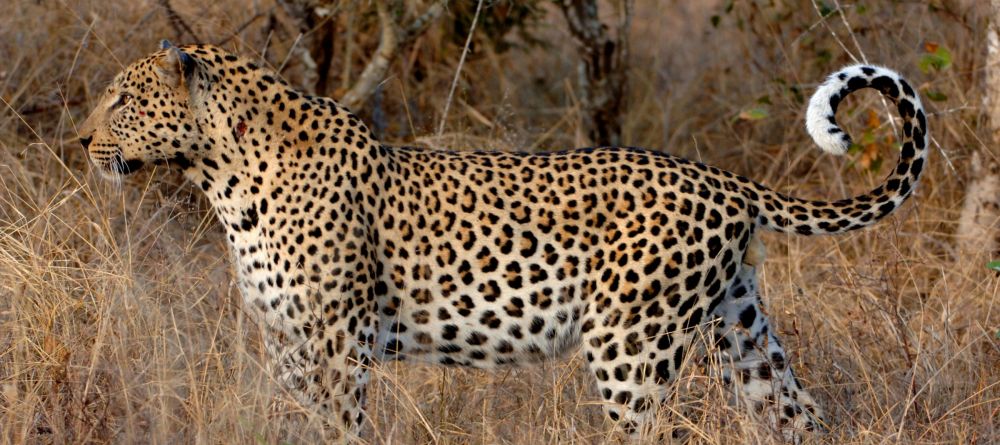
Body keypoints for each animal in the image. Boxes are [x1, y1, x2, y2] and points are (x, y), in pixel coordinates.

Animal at [78, 40, 928, 440]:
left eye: (121, 98)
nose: (81, 140)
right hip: (742, 332)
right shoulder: (287, 343)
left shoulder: (335, 343)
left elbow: (338, 429)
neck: (220, 175)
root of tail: (723, 178)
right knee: (798, 414)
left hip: (632, 346)